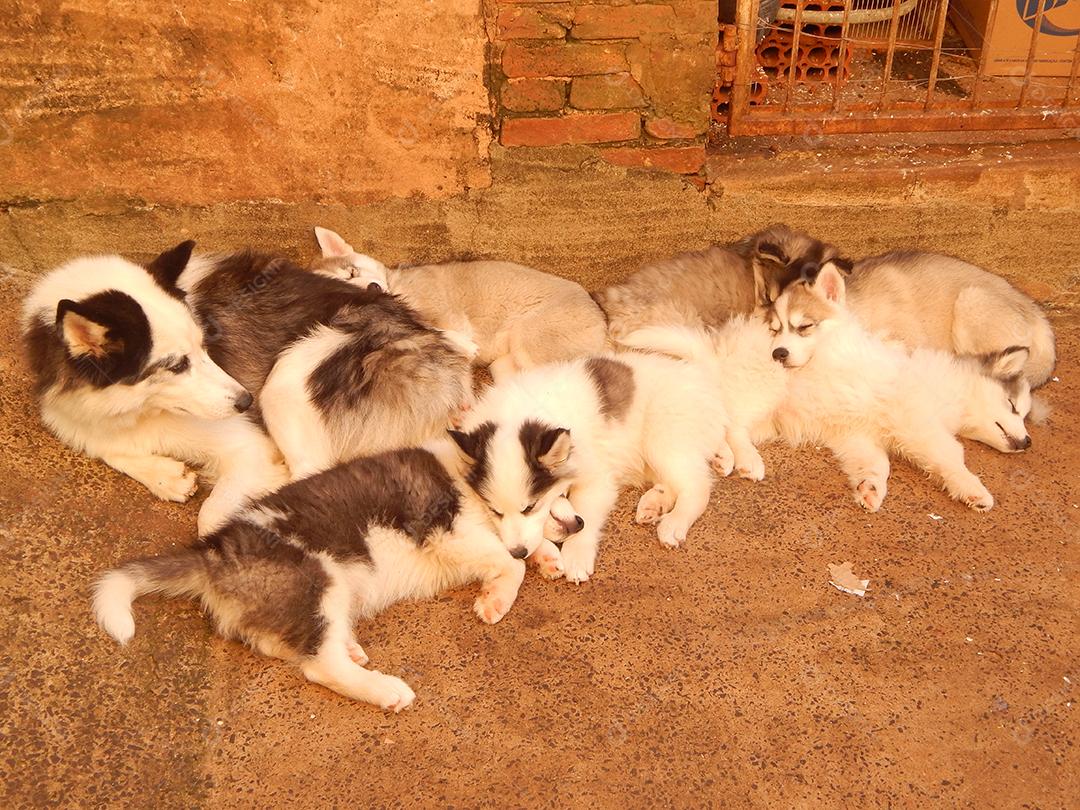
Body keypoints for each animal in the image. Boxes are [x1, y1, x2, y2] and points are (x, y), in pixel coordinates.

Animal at [22, 251, 288, 535]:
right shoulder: (66, 416)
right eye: (177, 365)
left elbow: (210, 518)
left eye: (204, 345)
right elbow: (103, 445)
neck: (139, 409)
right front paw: (165, 476)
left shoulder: (250, 449)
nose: (246, 401)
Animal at [92, 441, 529, 711]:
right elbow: (511, 561)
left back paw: (349, 647)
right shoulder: (441, 528)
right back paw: (384, 689)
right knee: (321, 665)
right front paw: (497, 598)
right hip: (317, 578)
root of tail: (213, 551)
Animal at [310, 227, 608, 380]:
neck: (399, 289)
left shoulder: (445, 313)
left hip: (531, 340)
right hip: (509, 362)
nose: (375, 288)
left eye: (352, 273)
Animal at [448, 353, 733, 583]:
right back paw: (655, 504)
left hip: (663, 438)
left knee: (697, 485)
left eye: (530, 507)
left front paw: (576, 556)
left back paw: (674, 523)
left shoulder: (596, 479)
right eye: (494, 511)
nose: (518, 553)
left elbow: (585, 514)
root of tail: (699, 378)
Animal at [767, 263, 1033, 512]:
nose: (1028, 442)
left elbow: (876, 463)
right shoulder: (916, 419)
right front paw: (971, 487)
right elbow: (950, 453)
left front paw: (870, 487)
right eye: (1013, 406)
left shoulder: (857, 433)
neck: (951, 387)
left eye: (1022, 413)